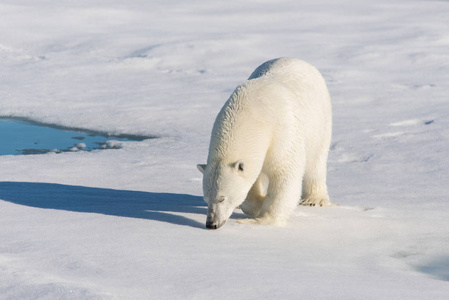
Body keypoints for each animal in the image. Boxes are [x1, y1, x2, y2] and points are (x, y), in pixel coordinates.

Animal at [198, 57, 330, 229]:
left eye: (222, 198)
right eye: (206, 198)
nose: (211, 223)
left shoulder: (282, 132)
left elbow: (284, 173)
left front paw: (261, 219)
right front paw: (258, 202)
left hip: (319, 121)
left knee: (315, 160)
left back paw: (314, 199)